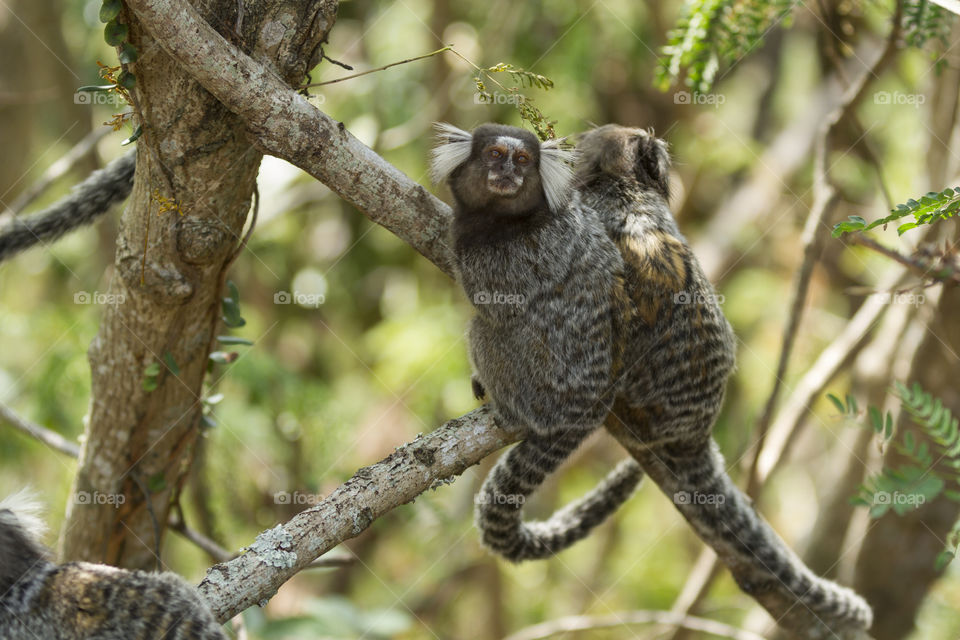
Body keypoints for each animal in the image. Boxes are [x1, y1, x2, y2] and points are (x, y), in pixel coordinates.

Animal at [430, 122, 644, 562]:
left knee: (486, 332)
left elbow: (495, 308)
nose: (508, 171)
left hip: (540, 388)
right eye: (495, 154)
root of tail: (591, 406)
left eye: (523, 160)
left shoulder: (504, 260)